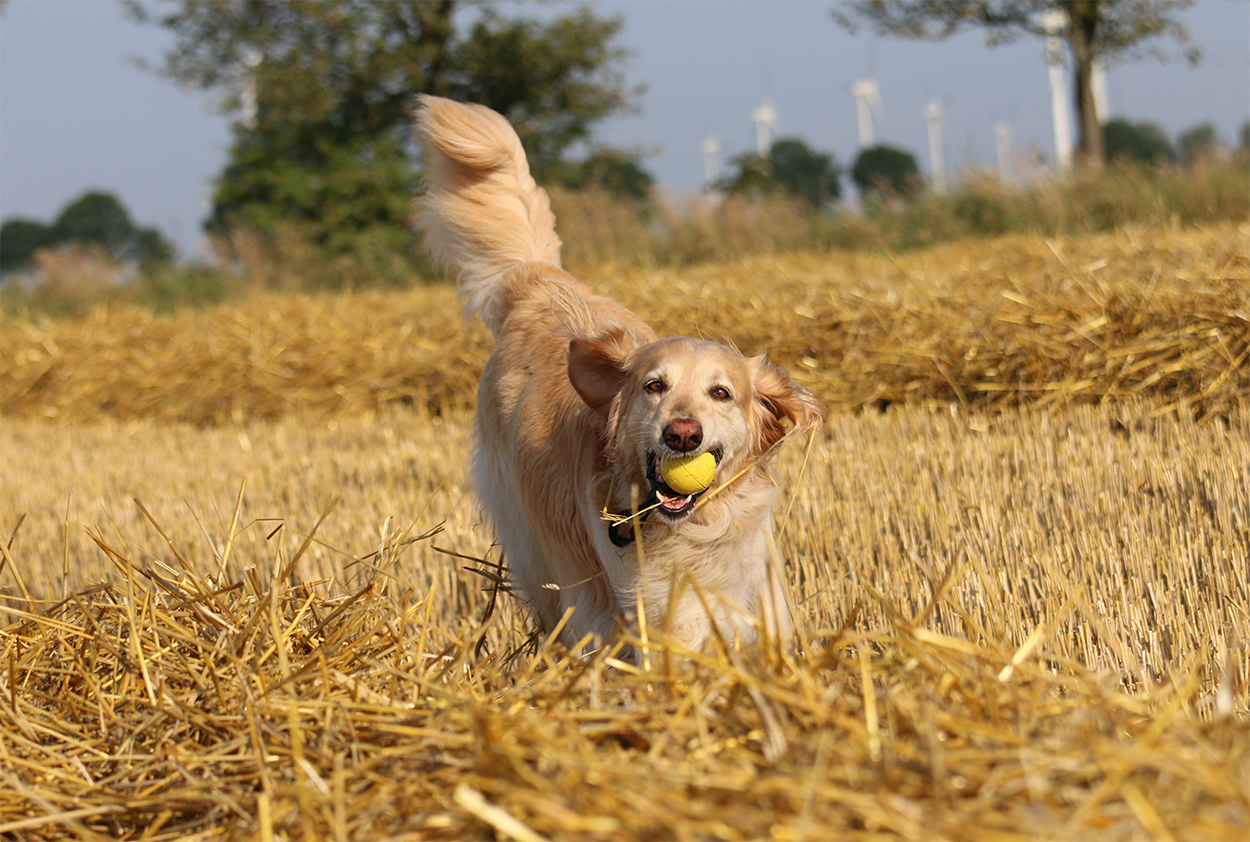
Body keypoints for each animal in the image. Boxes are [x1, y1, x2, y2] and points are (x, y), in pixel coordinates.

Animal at [415, 96, 827, 653]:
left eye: (721, 393)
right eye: (654, 386)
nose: (682, 434)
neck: (695, 531)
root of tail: (540, 280)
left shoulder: (761, 600)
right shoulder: (669, 618)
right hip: (535, 550)